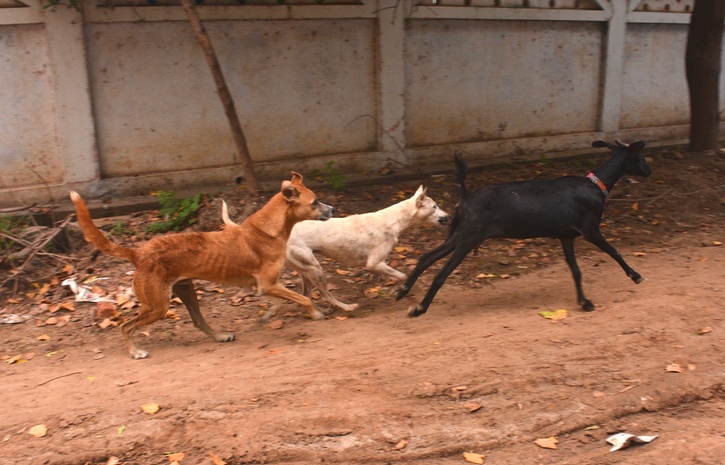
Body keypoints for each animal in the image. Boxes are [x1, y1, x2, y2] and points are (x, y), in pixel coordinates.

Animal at [69, 172, 336, 358]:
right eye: (315, 202)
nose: (333, 209)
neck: (268, 228)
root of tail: (138, 253)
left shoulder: (266, 287)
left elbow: (289, 299)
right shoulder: (268, 284)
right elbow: (304, 298)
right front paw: (316, 313)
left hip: (186, 291)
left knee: (198, 321)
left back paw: (221, 335)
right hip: (158, 306)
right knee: (126, 326)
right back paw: (135, 352)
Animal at [221, 184, 446, 312]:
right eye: (435, 206)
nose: (448, 216)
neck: (393, 221)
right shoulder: (374, 263)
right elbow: (402, 275)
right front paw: (401, 290)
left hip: (306, 271)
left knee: (307, 295)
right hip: (315, 269)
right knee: (325, 295)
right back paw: (346, 307)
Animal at [394, 140, 652, 318]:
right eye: (639, 156)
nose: (649, 170)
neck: (596, 186)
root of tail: (466, 196)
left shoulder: (567, 236)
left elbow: (576, 270)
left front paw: (584, 302)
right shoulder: (590, 230)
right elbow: (614, 251)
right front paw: (635, 275)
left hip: (458, 233)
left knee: (427, 257)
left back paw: (402, 290)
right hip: (469, 237)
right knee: (441, 273)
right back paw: (419, 308)